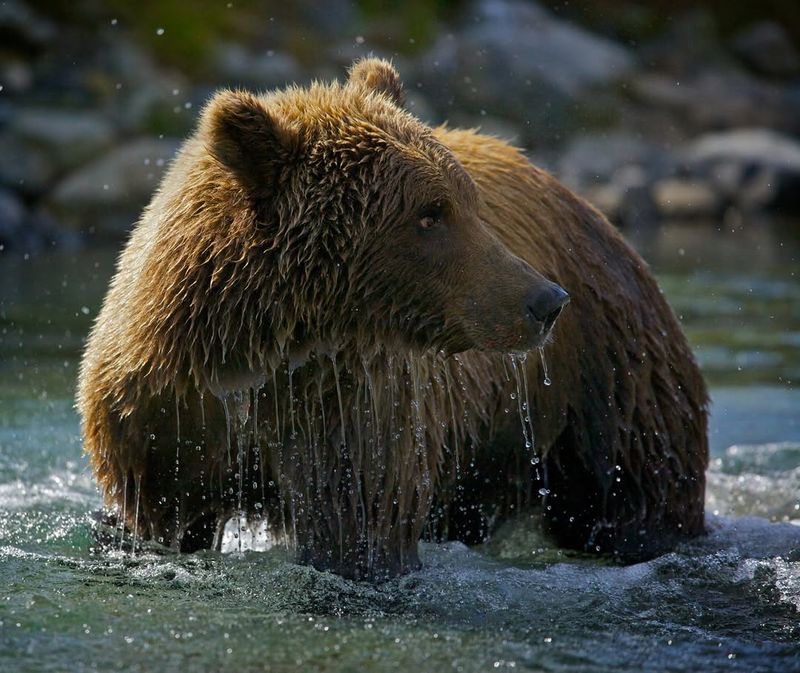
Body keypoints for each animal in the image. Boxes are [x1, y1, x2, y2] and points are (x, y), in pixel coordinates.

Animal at [79, 57, 708, 580]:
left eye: (470, 203)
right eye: (430, 214)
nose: (546, 300)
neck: (257, 345)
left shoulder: (351, 405)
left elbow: (356, 520)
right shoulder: (162, 419)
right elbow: (161, 518)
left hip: (609, 374)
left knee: (636, 484)